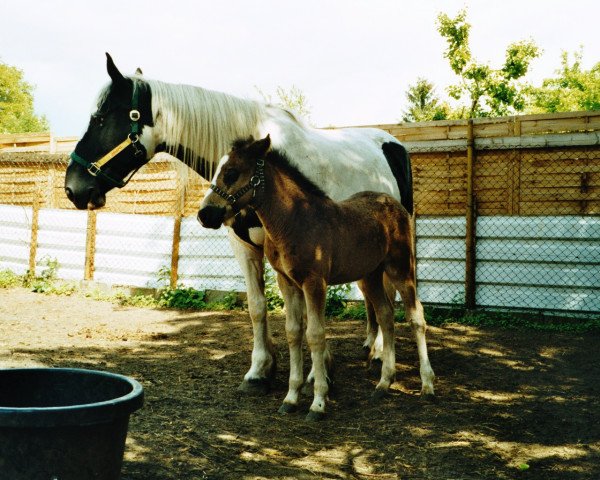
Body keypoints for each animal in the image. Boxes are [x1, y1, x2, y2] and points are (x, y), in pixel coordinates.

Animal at [63, 53, 414, 394]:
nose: (73, 188)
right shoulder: (244, 246)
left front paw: (317, 373)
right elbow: (257, 307)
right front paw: (260, 371)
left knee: (386, 296)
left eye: (101, 118)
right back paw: (372, 347)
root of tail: (391, 144)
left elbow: (308, 315)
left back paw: (380, 353)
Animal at [199, 135, 434, 420]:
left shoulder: (315, 283)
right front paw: (290, 398)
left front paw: (318, 402)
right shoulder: (287, 283)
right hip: (370, 276)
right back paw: (383, 383)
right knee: (386, 315)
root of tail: (392, 202)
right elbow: (293, 332)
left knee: (416, 316)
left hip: (400, 268)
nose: (204, 214)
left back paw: (427, 385)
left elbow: (315, 334)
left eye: (232, 173)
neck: (294, 220)